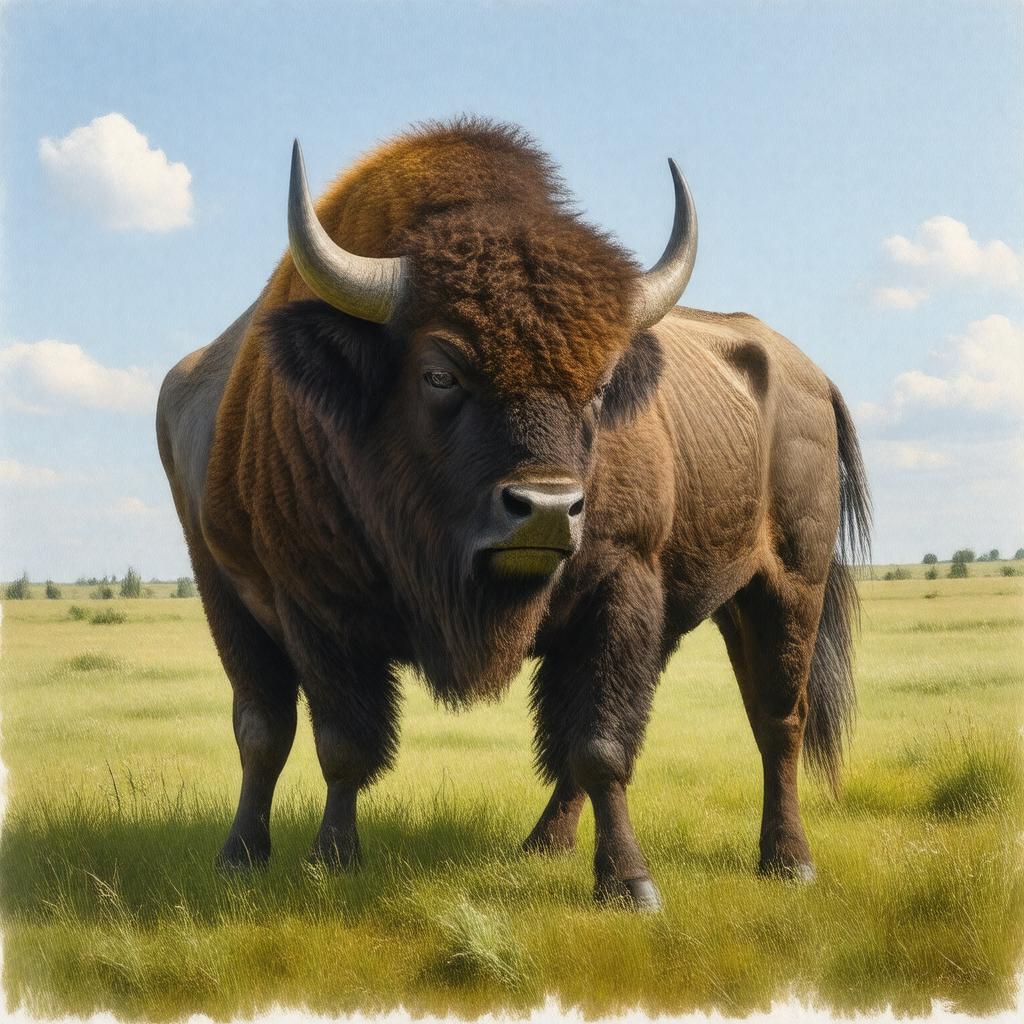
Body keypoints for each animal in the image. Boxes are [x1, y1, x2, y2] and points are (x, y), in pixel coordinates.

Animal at [157, 119, 869, 910]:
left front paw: (631, 885)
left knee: (777, 718)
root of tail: (809, 372)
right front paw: (330, 862)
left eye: (601, 385)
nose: (548, 510)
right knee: (263, 727)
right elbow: (339, 745)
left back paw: (788, 861)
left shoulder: (622, 588)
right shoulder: (312, 602)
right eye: (440, 372)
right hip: (226, 598)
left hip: (788, 583)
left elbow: (600, 746)